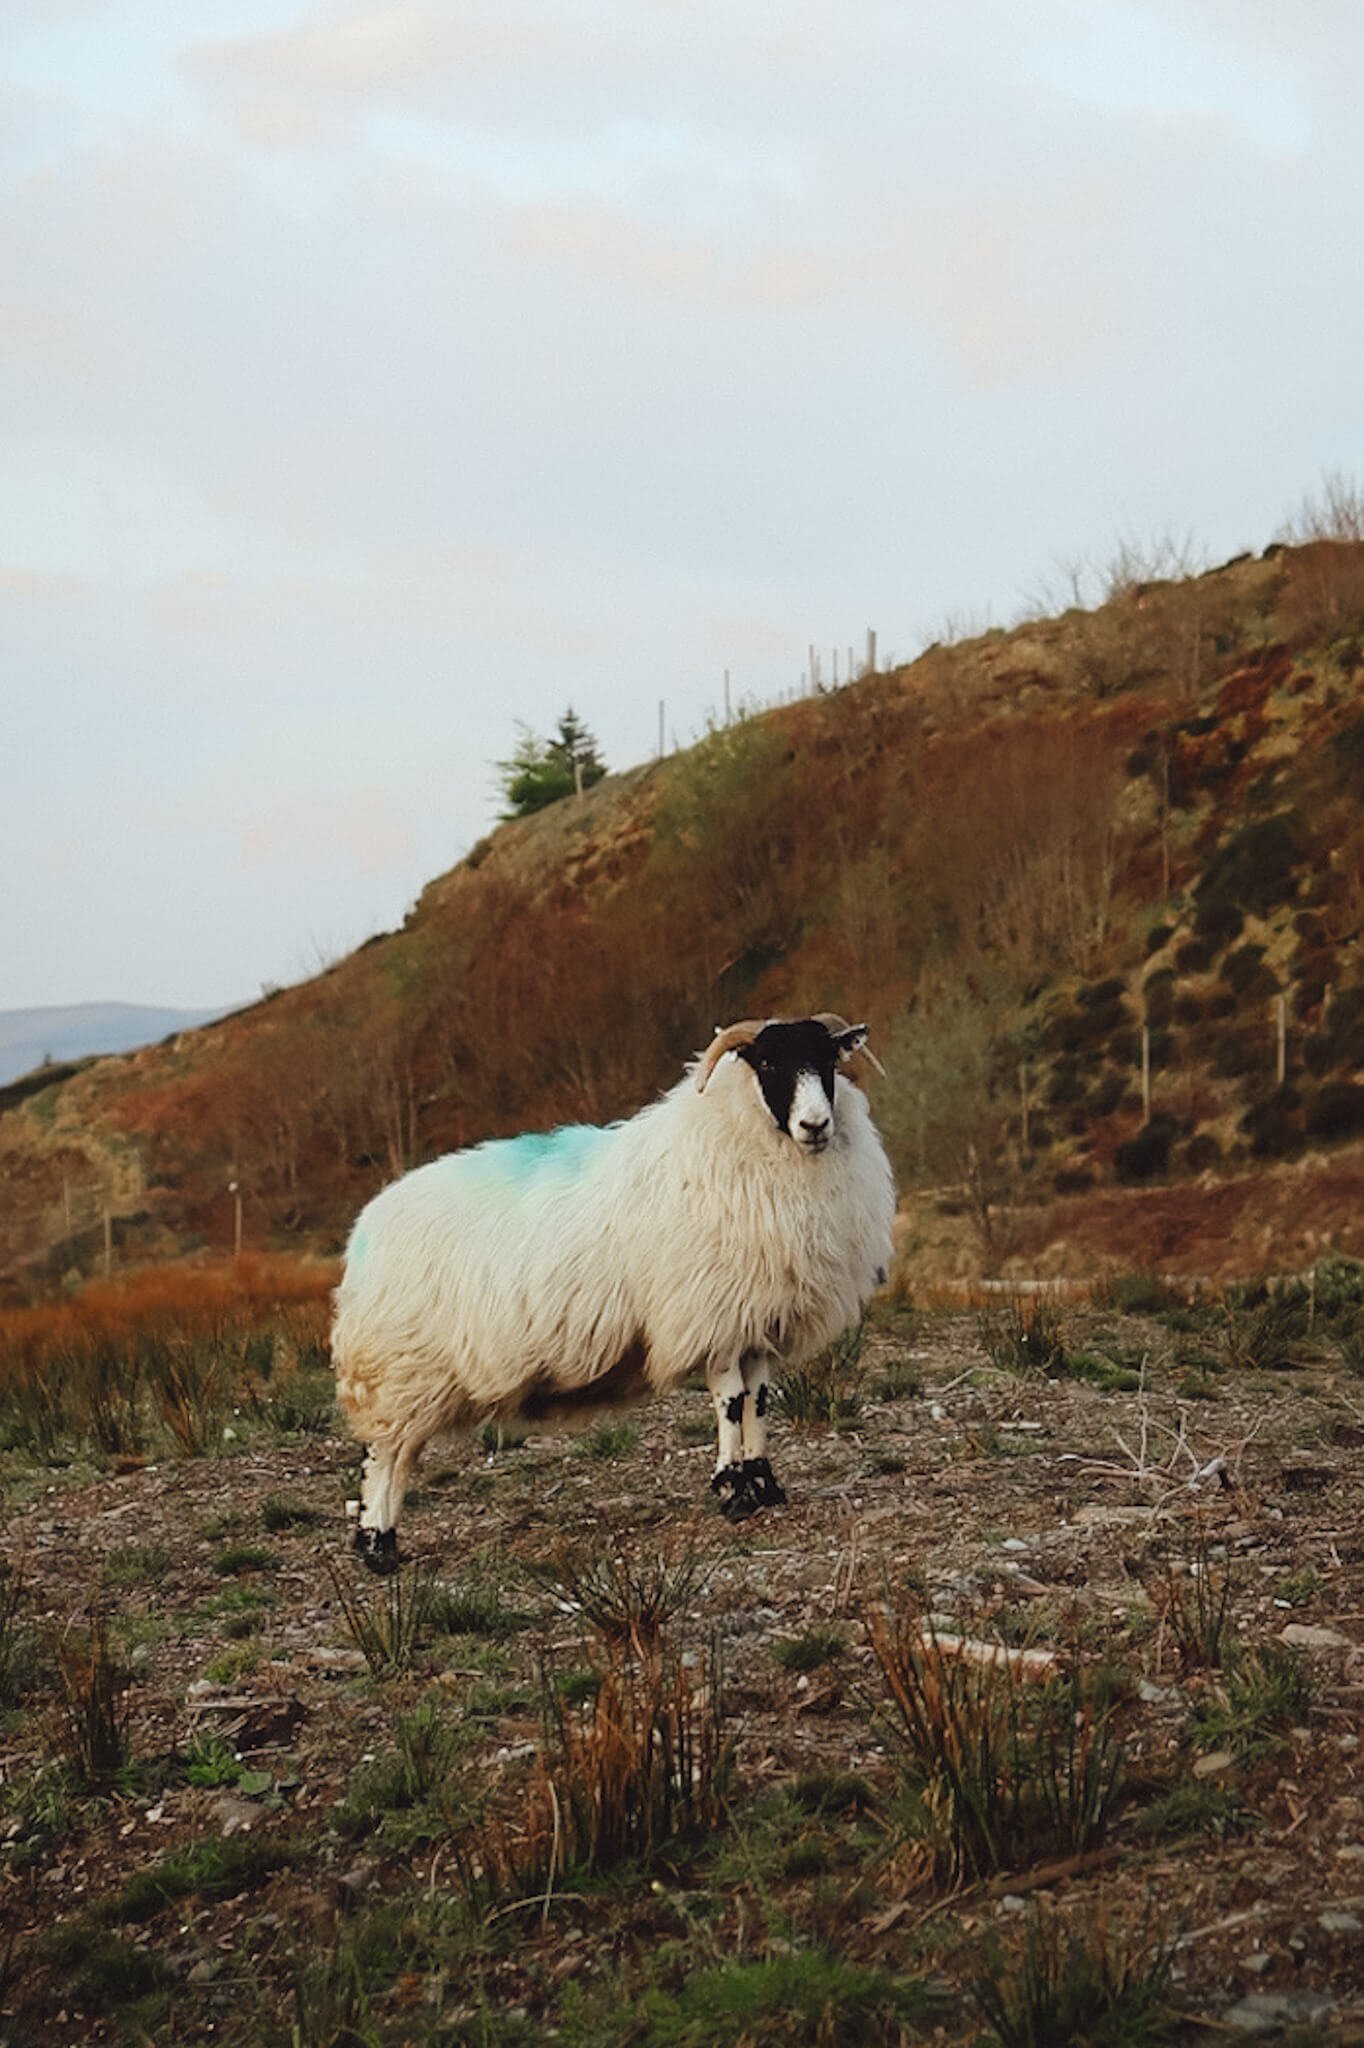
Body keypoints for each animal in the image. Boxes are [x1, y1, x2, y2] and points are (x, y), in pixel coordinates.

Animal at [332, 1013, 896, 1570]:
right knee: (384, 1457)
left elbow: (758, 1400)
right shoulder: (709, 1315)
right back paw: (378, 1544)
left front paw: (764, 1485)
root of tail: (366, 1228)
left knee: (397, 1453)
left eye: (828, 1060)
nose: (815, 1126)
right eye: (768, 1062)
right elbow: (732, 1402)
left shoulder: (756, 1317)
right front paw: (732, 1491)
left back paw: (376, 1541)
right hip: (399, 1369)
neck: (736, 1133)